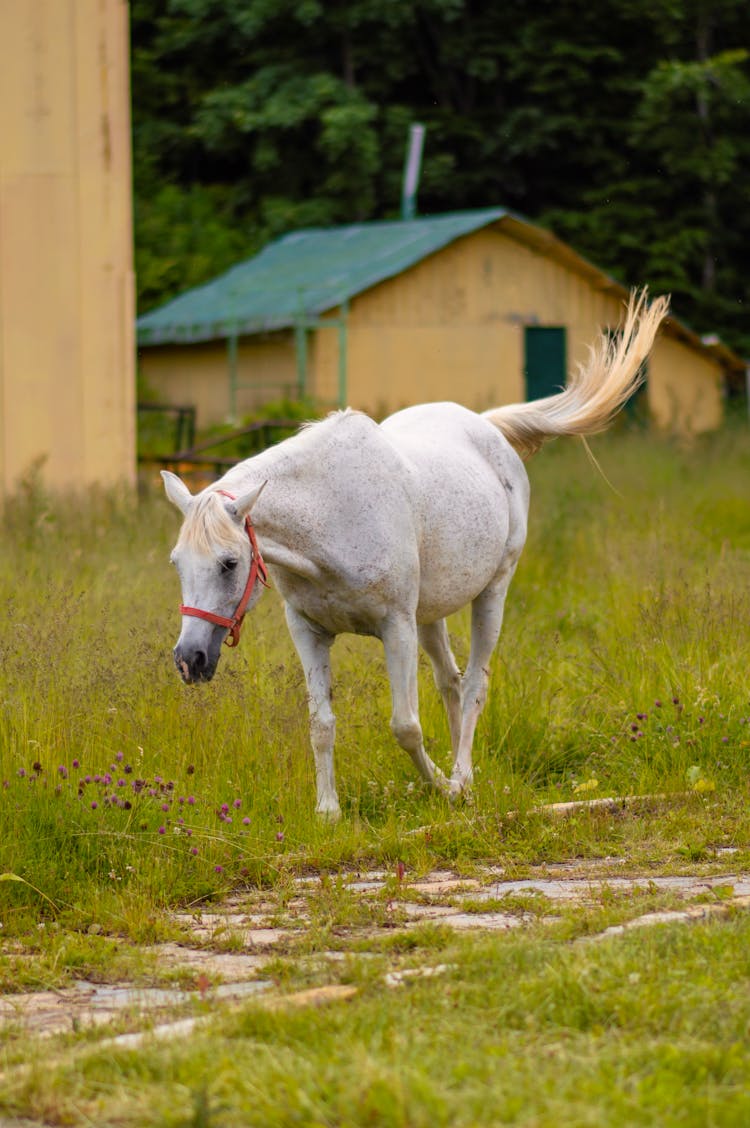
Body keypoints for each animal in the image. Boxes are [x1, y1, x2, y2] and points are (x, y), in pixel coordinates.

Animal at [162, 291, 667, 821]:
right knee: (451, 681)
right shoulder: (309, 630)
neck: (333, 512)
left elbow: (404, 725)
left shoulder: (395, 628)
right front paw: (329, 812)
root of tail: (486, 426)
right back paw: (465, 776)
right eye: (177, 562)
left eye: (230, 563)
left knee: (475, 684)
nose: (189, 660)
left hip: (492, 593)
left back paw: (462, 778)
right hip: (430, 614)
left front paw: (442, 788)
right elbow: (321, 722)